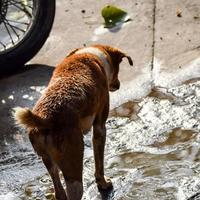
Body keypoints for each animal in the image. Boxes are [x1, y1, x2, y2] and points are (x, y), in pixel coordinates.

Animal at [12, 44, 133, 199]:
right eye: (118, 69)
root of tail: (45, 118)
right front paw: (103, 184)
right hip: (73, 167)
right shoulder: (100, 128)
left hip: (48, 160)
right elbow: (99, 163)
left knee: (58, 188)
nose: (118, 85)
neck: (91, 54)